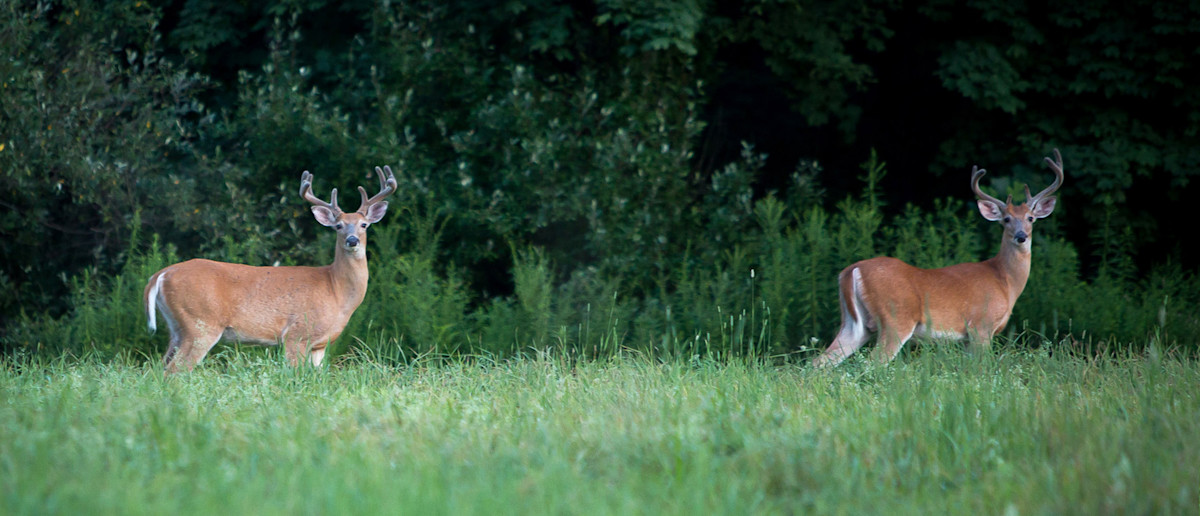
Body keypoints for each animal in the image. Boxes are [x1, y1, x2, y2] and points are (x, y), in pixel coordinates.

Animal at [143, 166, 397, 373]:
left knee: (159, 368)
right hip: (200, 324)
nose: (352, 240)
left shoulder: (319, 345)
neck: (336, 289)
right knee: (174, 371)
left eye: (364, 225)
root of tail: (160, 275)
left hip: (178, 327)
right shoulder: (296, 334)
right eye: (338, 226)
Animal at [812, 149, 1064, 367]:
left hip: (854, 324)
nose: (1021, 236)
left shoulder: (968, 338)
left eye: (1030, 218)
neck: (1004, 281)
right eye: (1006, 219)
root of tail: (852, 270)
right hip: (896, 319)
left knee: (820, 361)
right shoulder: (981, 325)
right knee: (872, 363)